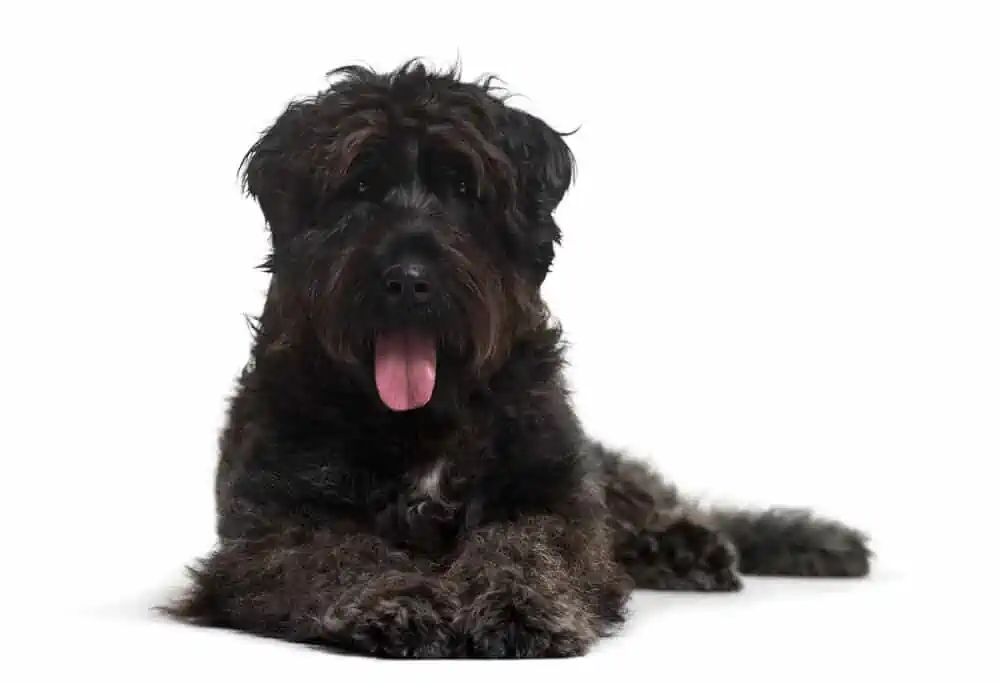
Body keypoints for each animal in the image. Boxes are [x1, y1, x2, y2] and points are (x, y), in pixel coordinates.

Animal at [164, 61, 868, 656]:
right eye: (359, 184)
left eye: (462, 186)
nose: (409, 279)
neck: (422, 424)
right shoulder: (273, 529)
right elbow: (341, 557)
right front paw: (397, 601)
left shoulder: (554, 499)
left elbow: (528, 548)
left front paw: (517, 607)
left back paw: (695, 544)